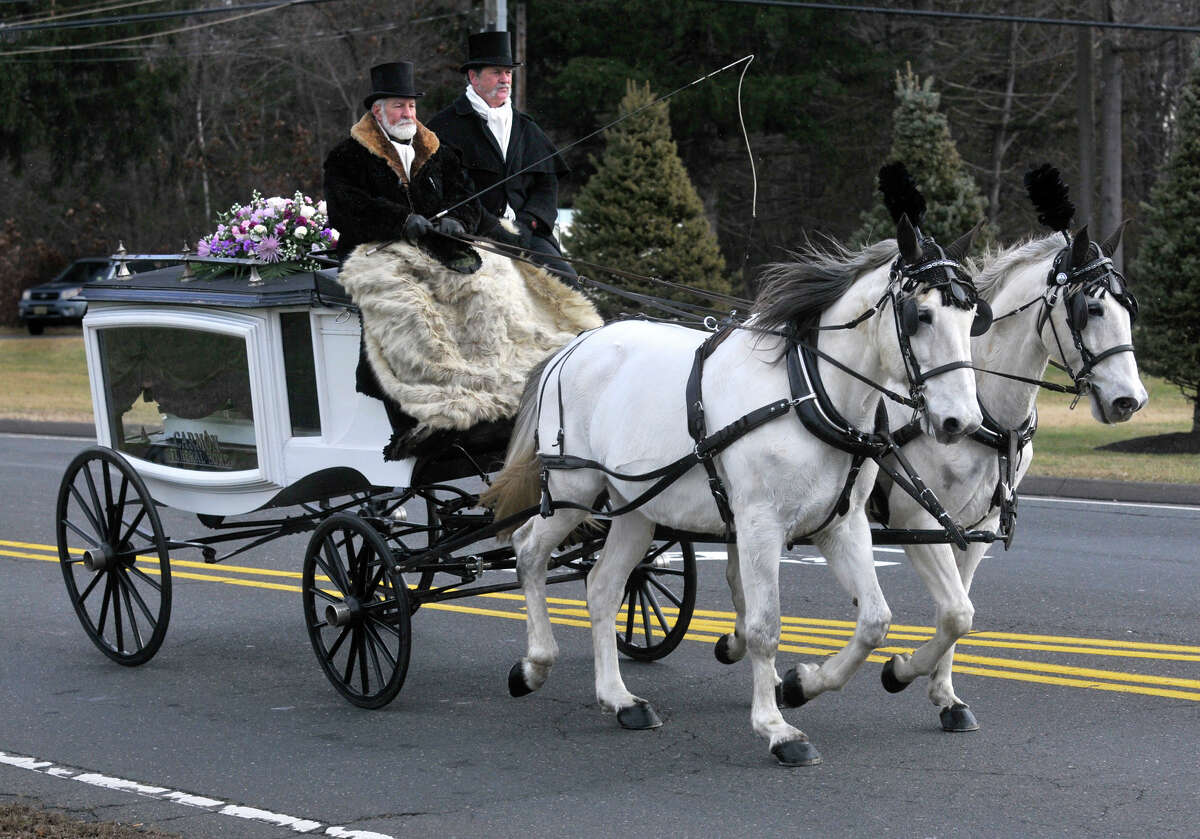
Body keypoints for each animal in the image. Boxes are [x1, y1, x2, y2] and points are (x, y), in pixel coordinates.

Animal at [484, 218, 984, 768]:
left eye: (973, 316)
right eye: (922, 315)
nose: (962, 422)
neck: (807, 392)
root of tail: (573, 346)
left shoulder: (842, 524)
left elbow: (876, 619)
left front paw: (805, 683)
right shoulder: (759, 523)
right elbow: (765, 625)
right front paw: (776, 727)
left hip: (637, 508)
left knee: (603, 586)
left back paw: (619, 699)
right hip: (572, 487)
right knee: (529, 550)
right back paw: (535, 663)